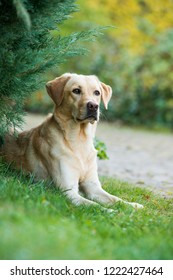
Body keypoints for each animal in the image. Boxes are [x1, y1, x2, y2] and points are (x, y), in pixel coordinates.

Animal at [0, 74, 143, 210]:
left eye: (97, 92)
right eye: (76, 91)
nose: (93, 106)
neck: (79, 140)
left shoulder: (93, 186)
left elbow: (115, 199)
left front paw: (133, 206)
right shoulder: (68, 191)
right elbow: (93, 205)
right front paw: (111, 212)